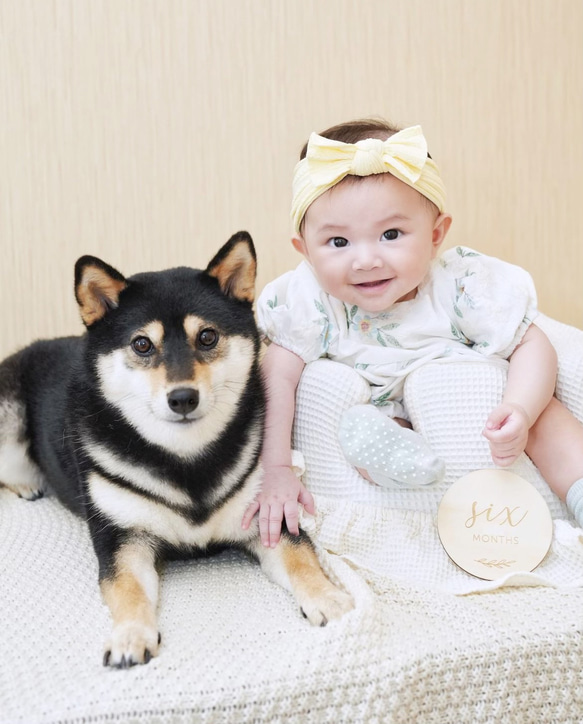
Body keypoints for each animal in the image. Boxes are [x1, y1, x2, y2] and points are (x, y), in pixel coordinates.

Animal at [0, 232, 354, 668]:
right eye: (141, 344)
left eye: (207, 336)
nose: (182, 397)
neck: (186, 458)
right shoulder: (121, 537)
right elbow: (126, 588)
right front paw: (131, 635)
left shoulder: (266, 515)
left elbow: (302, 559)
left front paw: (328, 597)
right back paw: (25, 484)